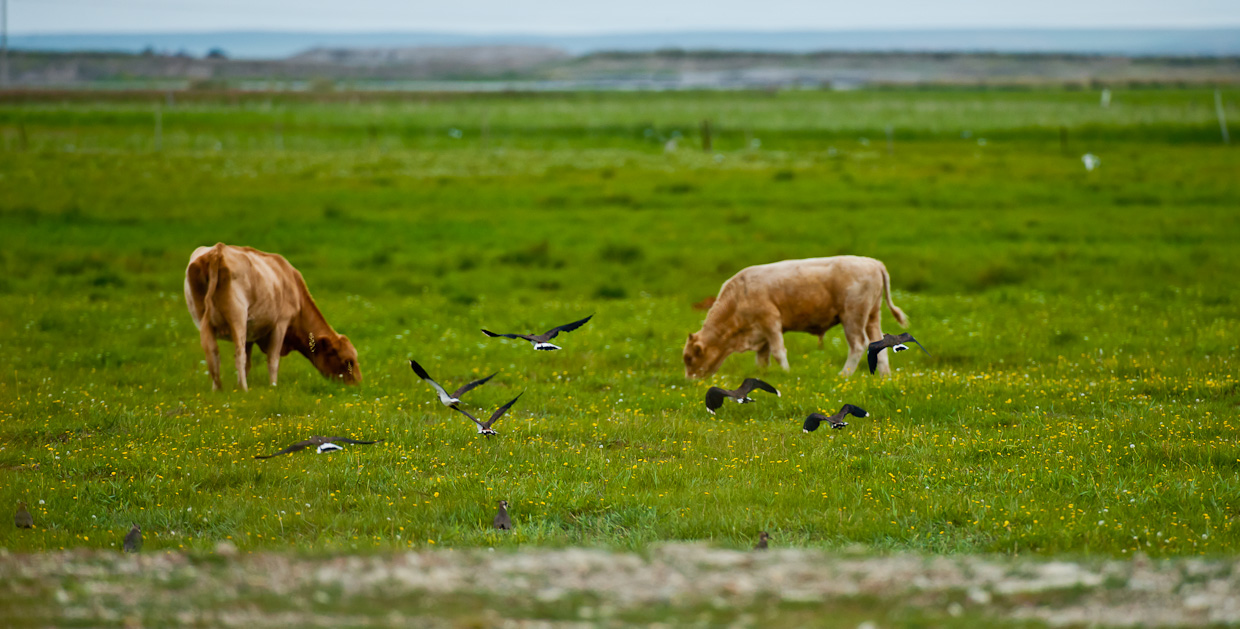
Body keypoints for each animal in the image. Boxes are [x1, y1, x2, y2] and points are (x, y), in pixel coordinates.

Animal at [181, 243, 362, 392]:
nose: (357, 385)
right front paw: (273, 386)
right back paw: (244, 389)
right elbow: (272, 359)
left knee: (212, 351)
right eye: (348, 361)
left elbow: (249, 363)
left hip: (201, 317)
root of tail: (217, 251)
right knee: (238, 354)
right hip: (238, 316)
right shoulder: (281, 323)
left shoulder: (251, 333)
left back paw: (217, 389)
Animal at [684, 255, 907, 379]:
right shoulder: (761, 333)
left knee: (858, 345)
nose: (690, 381)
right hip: (872, 317)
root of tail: (874, 263)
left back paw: (843, 375)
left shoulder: (771, 322)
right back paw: (884, 376)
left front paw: (786, 373)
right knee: (878, 343)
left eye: (688, 358)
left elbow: (778, 352)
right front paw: (762, 375)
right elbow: (762, 358)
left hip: (853, 317)